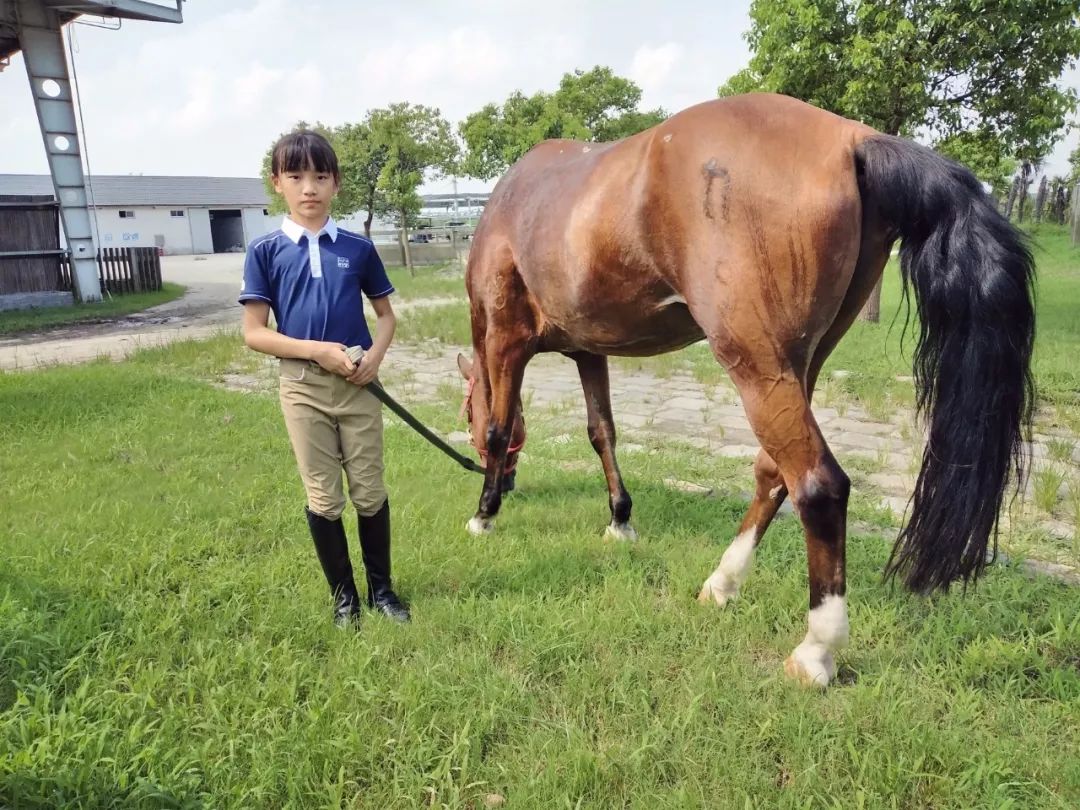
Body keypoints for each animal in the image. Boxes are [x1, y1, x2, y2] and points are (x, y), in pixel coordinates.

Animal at [451, 95, 1032, 691]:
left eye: (465, 412)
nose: (508, 484)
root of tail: (852, 137)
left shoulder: (505, 341)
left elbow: (500, 428)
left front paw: (484, 514)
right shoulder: (590, 352)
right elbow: (602, 432)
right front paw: (619, 519)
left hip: (757, 366)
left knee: (817, 484)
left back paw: (815, 650)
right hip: (798, 365)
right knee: (774, 473)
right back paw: (722, 584)